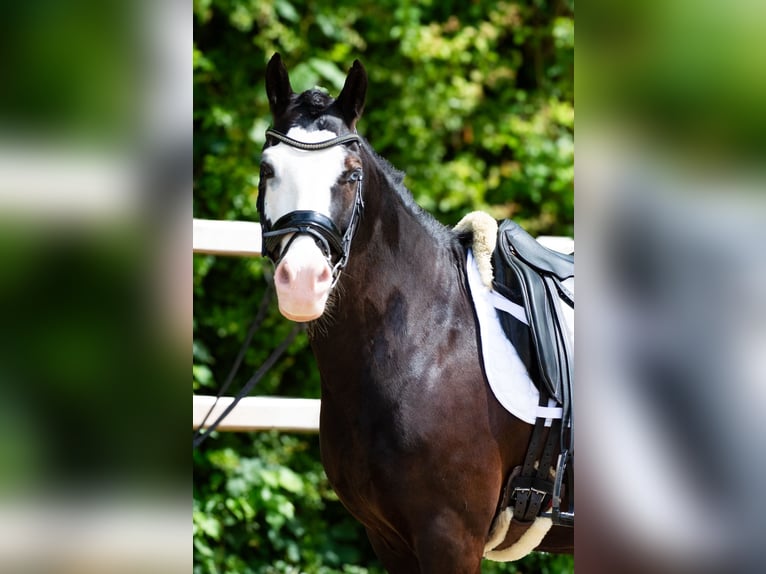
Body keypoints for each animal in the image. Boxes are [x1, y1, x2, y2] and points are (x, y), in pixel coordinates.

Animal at [257, 53, 573, 573]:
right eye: (267, 169)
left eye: (351, 173)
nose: (302, 281)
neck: (427, 345)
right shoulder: (389, 540)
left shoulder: (451, 539)